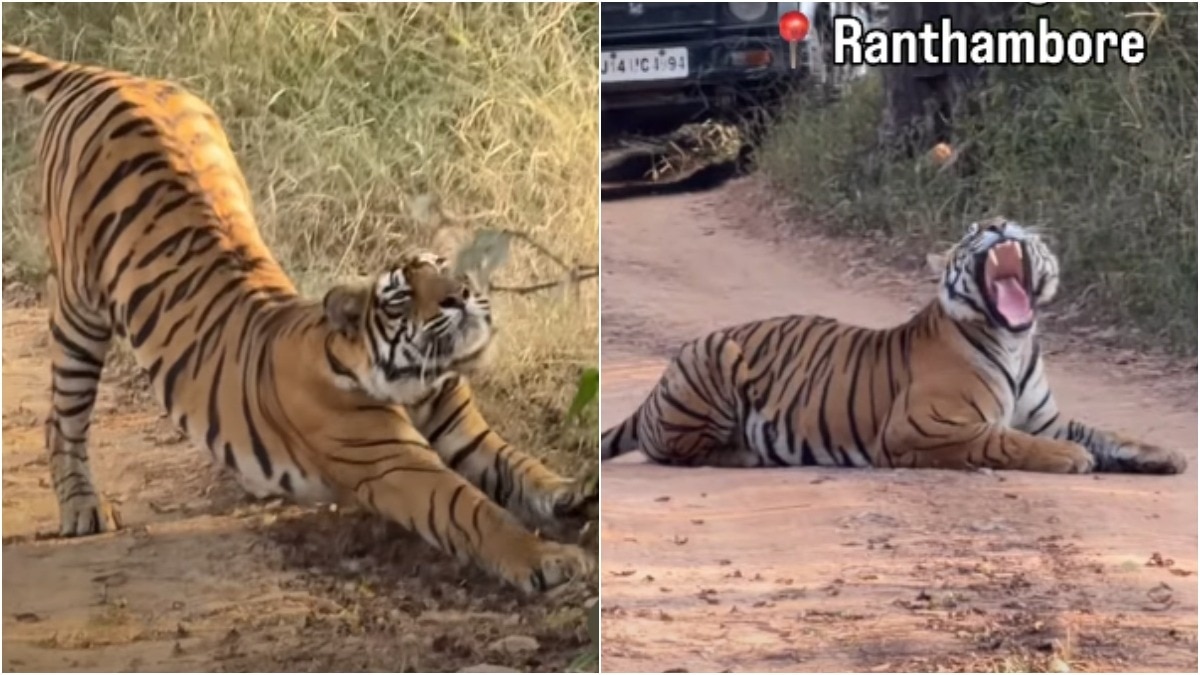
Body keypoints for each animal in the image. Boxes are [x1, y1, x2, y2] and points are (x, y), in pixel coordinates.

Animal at [2, 44, 597, 593]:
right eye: (404, 296)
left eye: (444, 269)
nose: (463, 294)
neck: (417, 381)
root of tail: (101, 73)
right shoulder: (396, 465)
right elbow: (474, 510)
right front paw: (550, 560)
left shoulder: (468, 433)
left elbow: (522, 467)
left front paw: (574, 491)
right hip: (79, 308)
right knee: (62, 417)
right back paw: (83, 509)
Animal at [602, 217, 1187, 476]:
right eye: (973, 230)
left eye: (1012, 221)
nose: (997, 222)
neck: (1014, 342)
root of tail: (656, 387)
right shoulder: (925, 427)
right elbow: (1006, 441)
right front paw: (1072, 458)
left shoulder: (1045, 417)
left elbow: (1107, 432)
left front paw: (1165, 453)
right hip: (714, 363)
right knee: (672, 449)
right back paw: (745, 453)